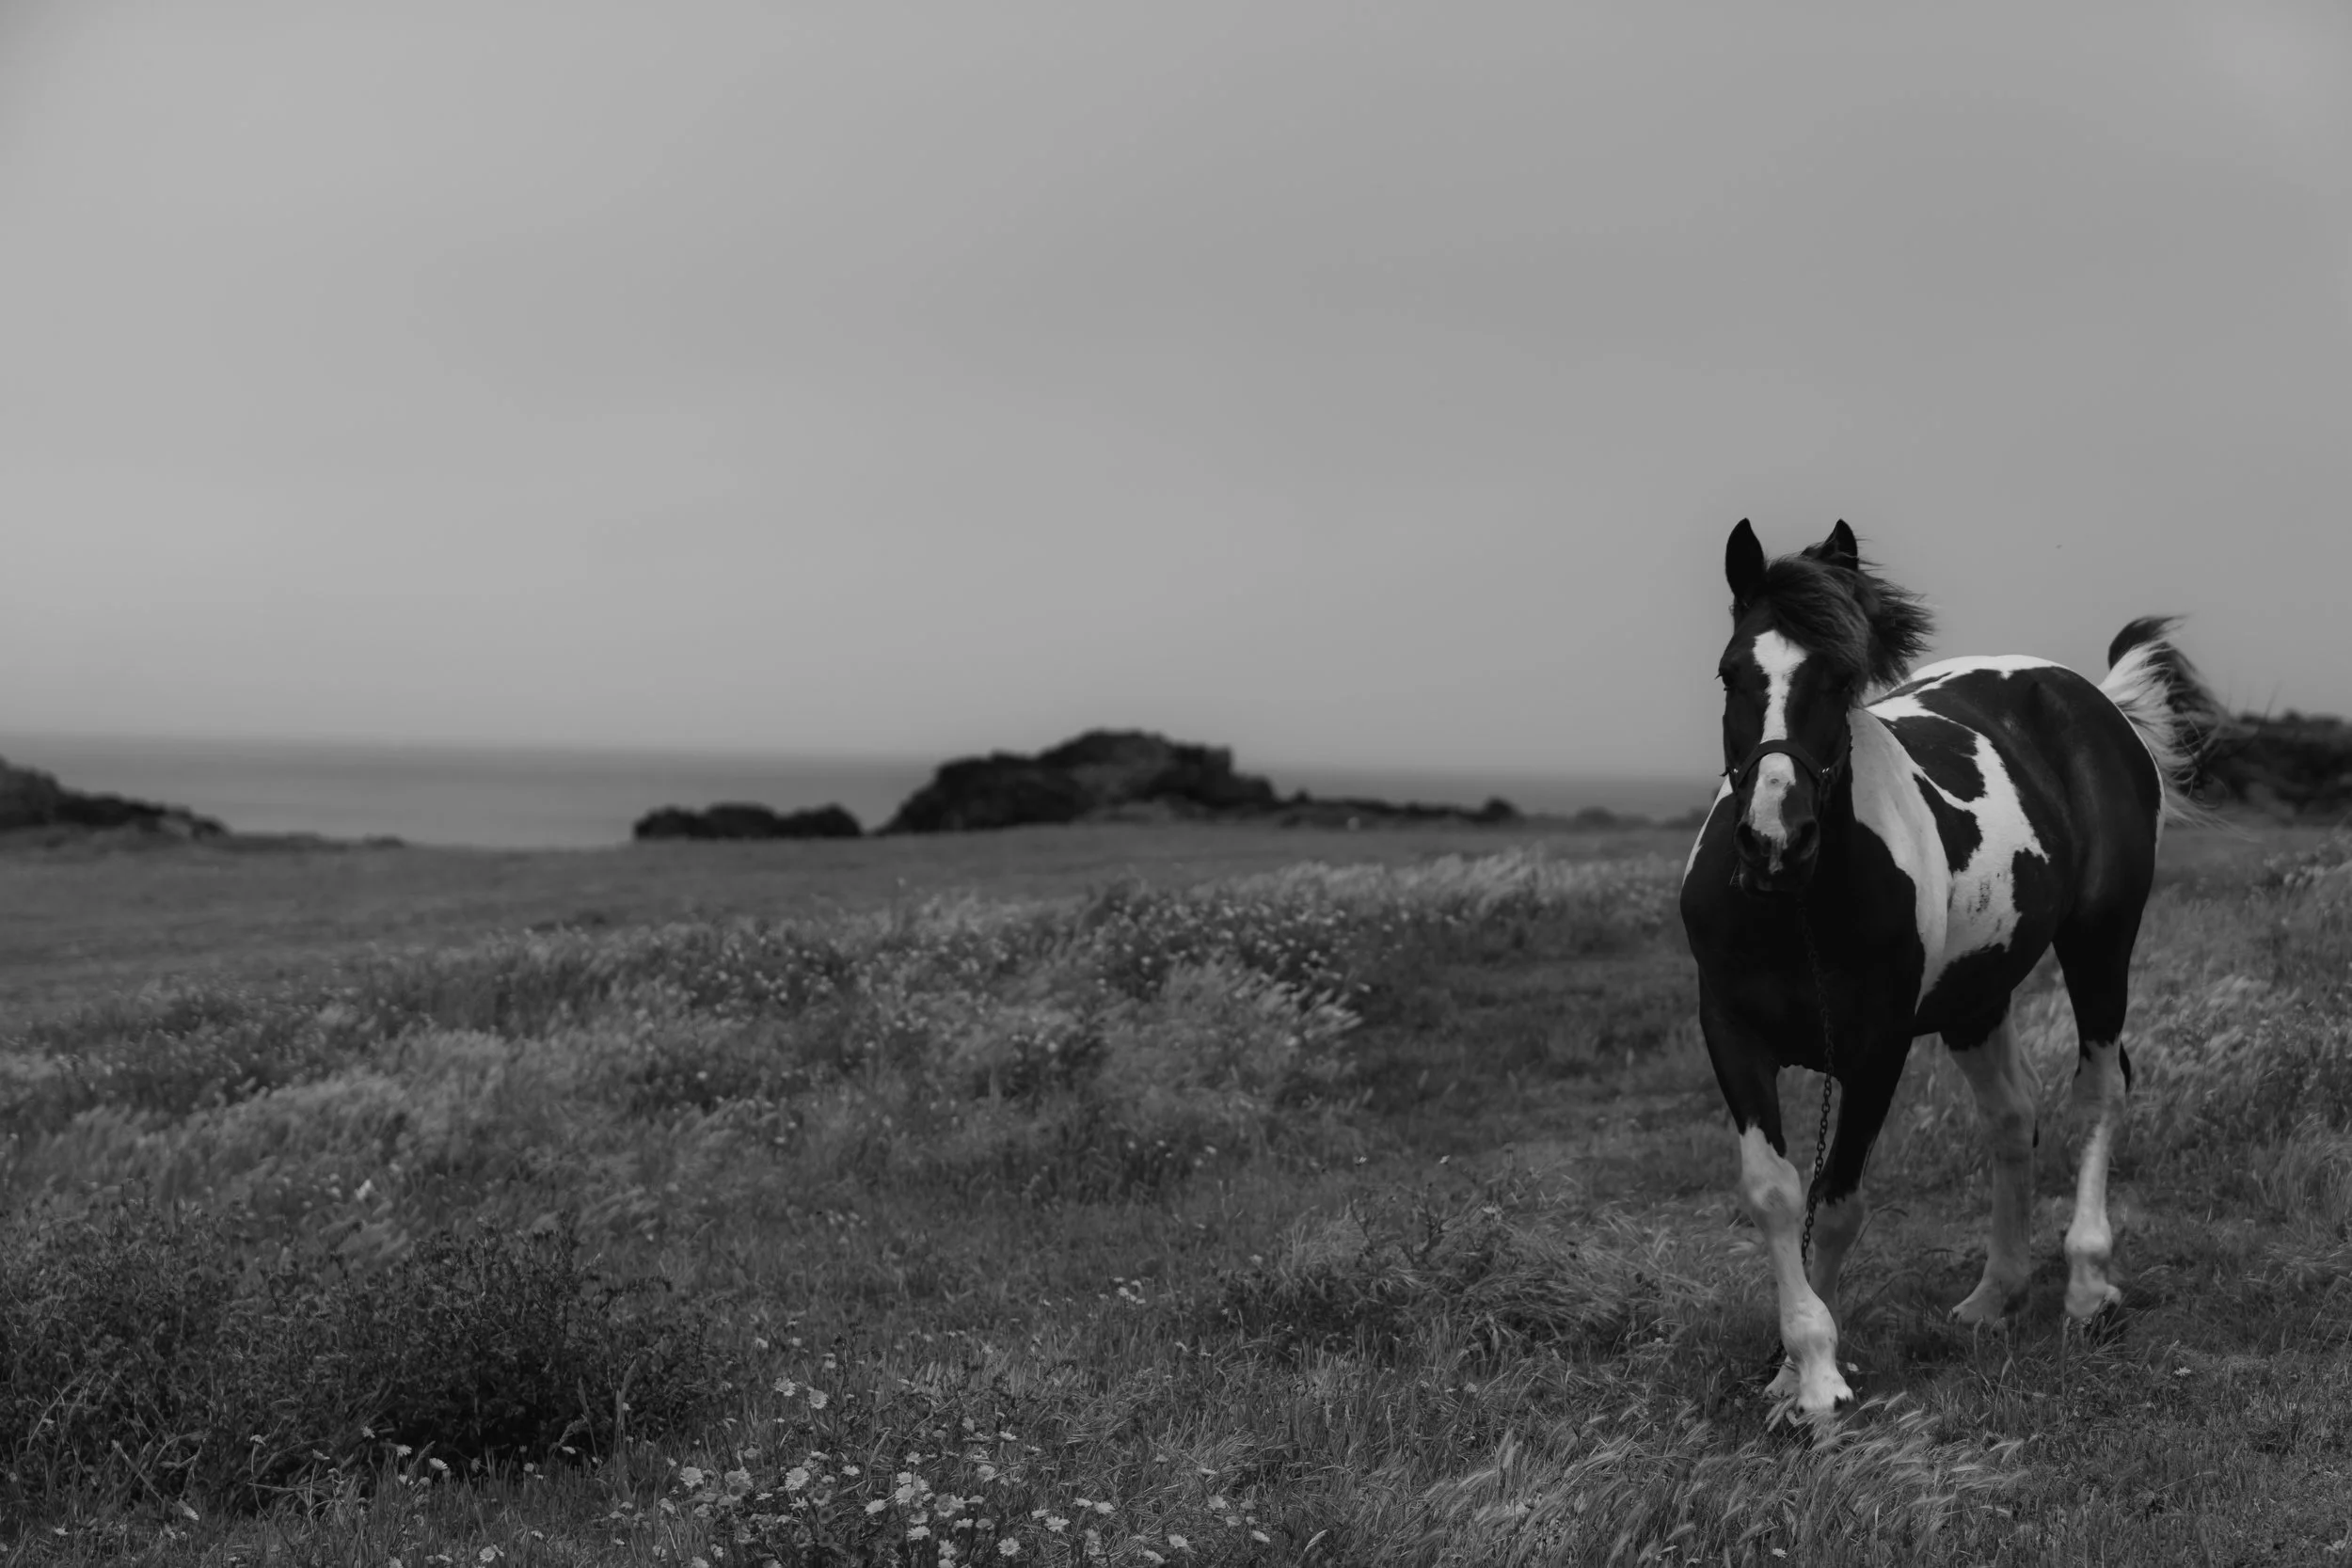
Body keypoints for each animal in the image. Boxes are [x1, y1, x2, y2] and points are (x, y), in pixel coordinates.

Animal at [1678, 519, 2218, 1420]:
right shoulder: (1731, 1032)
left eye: (1842, 678)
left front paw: (1818, 1375)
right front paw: (1794, 1365)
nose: (1775, 840)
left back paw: (2085, 1286)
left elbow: (1836, 1201)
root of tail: (2092, 698)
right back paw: (1994, 1295)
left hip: (2101, 944)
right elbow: (1777, 1191)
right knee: (2012, 1115)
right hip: (1978, 997)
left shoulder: (1877, 1050)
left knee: (2100, 1090)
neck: (1799, 912)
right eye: (1730, 671)